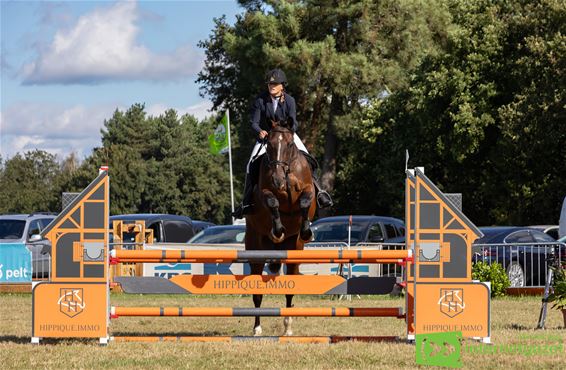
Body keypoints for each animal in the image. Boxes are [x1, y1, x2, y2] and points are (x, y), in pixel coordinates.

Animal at [245, 120, 320, 336]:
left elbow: (305, 201)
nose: (278, 180)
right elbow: (272, 201)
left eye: (289, 145)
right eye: (268, 145)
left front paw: (306, 231)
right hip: (255, 248)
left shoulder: (308, 190)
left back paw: (288, 327)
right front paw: (277, 230)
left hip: (294, 253)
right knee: (257, 294)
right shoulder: (265, 193)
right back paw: (257, 328)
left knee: (290, 290)